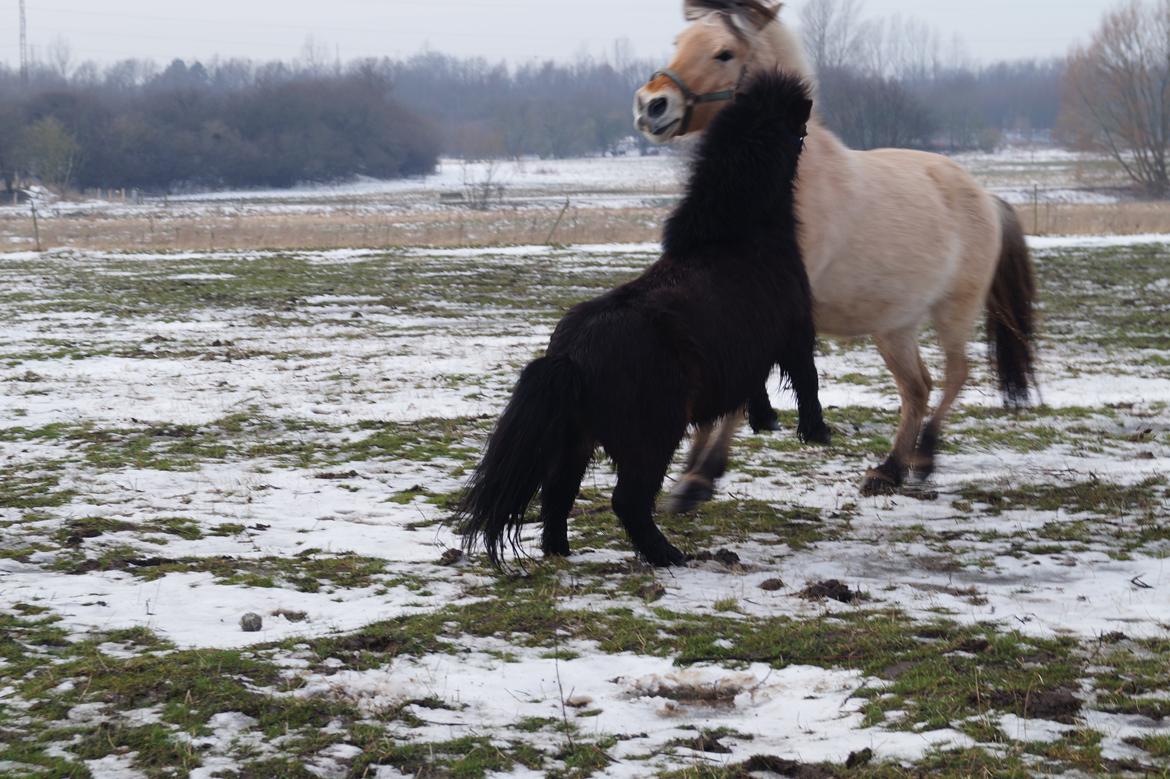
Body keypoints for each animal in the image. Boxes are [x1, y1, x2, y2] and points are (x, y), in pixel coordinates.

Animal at [453, 72, 823, 568]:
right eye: (797, 129)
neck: (738, 237)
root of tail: (570, 356)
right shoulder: (795, 330)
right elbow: (806, 379)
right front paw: (815, 432)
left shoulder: (750, 350)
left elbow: (756, 388)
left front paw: (767, 421)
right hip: (653, 434)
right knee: (627, 500)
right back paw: (668, 554)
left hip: (576, 441)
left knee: (557, 494)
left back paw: (561, 551)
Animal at [636, 0, 1038, 498]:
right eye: (679, 42)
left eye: (724, 53)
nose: (652, 104)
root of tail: (986, 196)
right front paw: (694, 471)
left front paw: (700, 476)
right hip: (894, 326)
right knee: (918, 387)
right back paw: (890, 468)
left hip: (954, 311)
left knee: (954, 374)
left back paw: (923, 457)